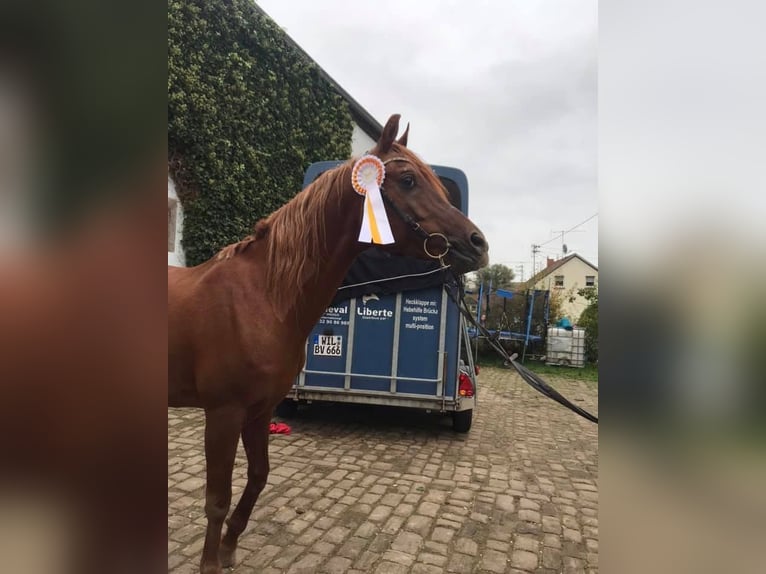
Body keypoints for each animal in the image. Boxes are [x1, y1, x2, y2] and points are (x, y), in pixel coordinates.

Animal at [170, 113, 488, 574]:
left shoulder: (260, 410)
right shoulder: (224, 413)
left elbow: (258, 477)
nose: (478, 244)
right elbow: (217, 498)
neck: (263, 295)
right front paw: (211, 562)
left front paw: (229, 547)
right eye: (409, 180)